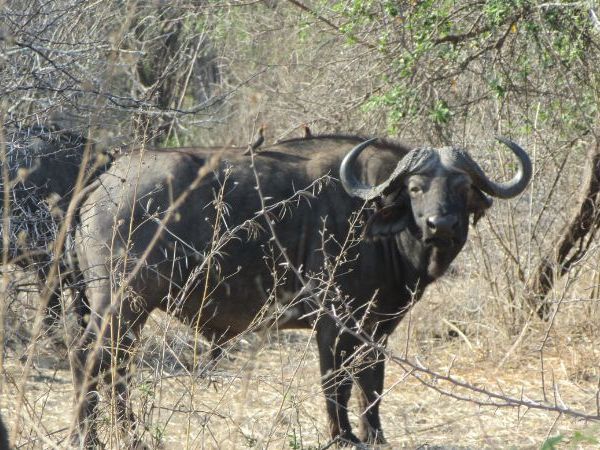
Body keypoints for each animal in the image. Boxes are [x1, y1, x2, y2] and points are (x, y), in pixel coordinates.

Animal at [72, 134, 532, 446]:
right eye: (416, 188)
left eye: (461, 188)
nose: (441, 225)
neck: (372, 221)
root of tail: (105, 182)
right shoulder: (333, 324)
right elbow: (336, 383)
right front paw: (342, 437)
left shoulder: (376, 329)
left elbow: (371, 384)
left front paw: (374, 436)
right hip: (122, 303)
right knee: (93, 358)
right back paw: (98, 436)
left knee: (114, 365)